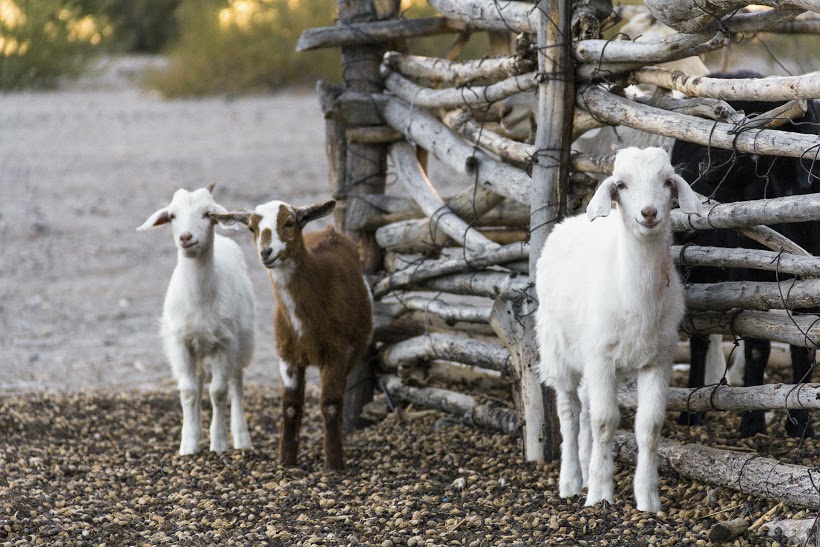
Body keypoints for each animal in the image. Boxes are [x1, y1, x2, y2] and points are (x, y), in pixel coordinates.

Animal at [138, 186, 255, 456]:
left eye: (207, 214)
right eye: (171, 216)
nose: (185, 237)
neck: (200, 301)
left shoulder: (226, 342)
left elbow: (219, 392)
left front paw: (218, 444)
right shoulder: (180, 342)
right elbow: (190, 392)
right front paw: (188, 445)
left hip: (243, 341)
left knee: (236, 383)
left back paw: (241, 438)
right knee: (200, 382)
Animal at [215, 201, 374, 470]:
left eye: (289, 223)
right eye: (252, 227)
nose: (266, 252)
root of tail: (330, 230)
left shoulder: (336, 353)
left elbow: (330, 405)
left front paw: (334, 463)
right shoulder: (286, 354)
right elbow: (290, 406)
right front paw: (286, 460)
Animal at [536, 147, 700, 512]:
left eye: (667, 182)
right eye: (621, 185)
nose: (649, 212)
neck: (636, 299)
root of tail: (569, 221)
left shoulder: (658, 360)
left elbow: (649, 427)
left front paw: (649, 500)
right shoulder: (601, 358)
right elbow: (605, 423)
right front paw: (600, 495)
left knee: (584, 410)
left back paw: (584, 473)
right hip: (557, 349)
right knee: (570, 412)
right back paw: (571, 482)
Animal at [672, 70, 820, 438]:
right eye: (764, 180)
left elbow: (803, 346)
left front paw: (800, 425)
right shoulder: (753, 278)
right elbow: (756, 347)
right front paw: (753, 421)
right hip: (696, 265)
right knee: (699, 338)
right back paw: (691, 410)